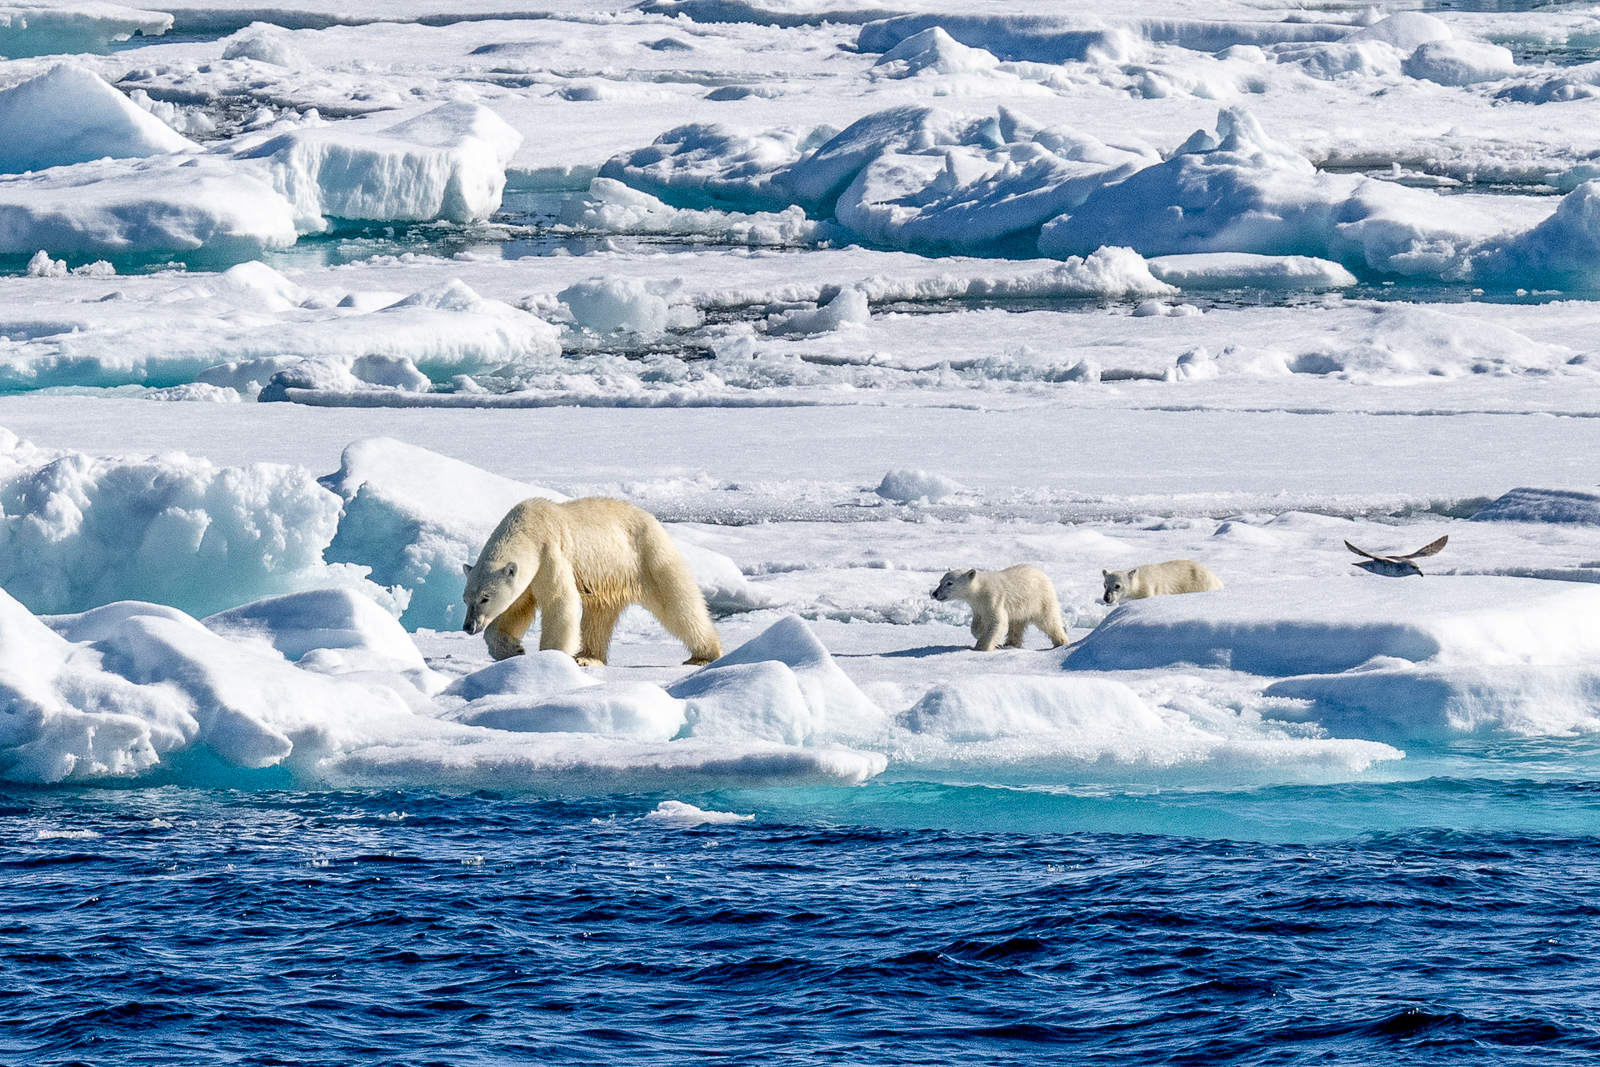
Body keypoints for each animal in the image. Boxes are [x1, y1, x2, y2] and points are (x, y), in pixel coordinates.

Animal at [461, 496, 723, 667]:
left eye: (485, 598)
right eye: (465, 599)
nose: (468, 626)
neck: (528, 528)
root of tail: (653, 519)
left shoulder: (550, 553)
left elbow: (559, 601)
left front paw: (550, 657)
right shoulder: (529, 575)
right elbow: (516, 608)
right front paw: (514, 649)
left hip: (647, 556)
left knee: (678, 604)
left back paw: (703, 656)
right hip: (609, 579)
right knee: (598, 616)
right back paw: (588, 656)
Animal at [931, 565, 1068, 652]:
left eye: (949, 583)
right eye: (940, 581)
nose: (935, 593)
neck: (980, 590)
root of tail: (1044, 575)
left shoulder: (993, 599)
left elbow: (996, 621)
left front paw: (981, 647)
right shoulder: (978, 606)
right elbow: (976, 625)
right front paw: (986, 636)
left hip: (1040, 599)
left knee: (1048, 621)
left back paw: (1061, 642)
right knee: (1016, 624)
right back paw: (1010, 643)